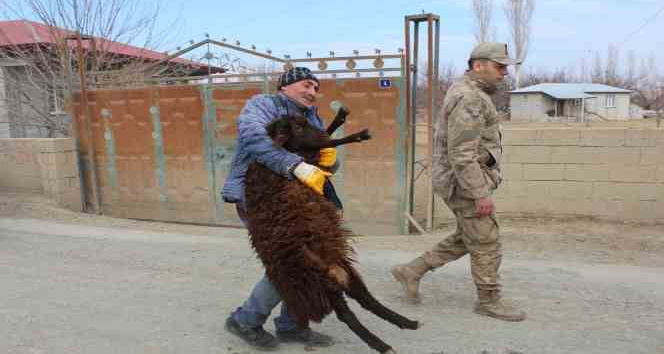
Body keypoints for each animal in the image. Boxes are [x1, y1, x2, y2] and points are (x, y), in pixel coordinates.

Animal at [244, 113, 420, 354]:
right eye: (297, 128)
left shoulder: (309, 157)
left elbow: (324, 139)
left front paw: (340, 119)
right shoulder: (303, 158)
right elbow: (327, 142)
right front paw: (357, 134)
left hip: (344, 273)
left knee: (367, 300)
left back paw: (407, 322)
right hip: (322, 283)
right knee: (347, 315)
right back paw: (383, 345)